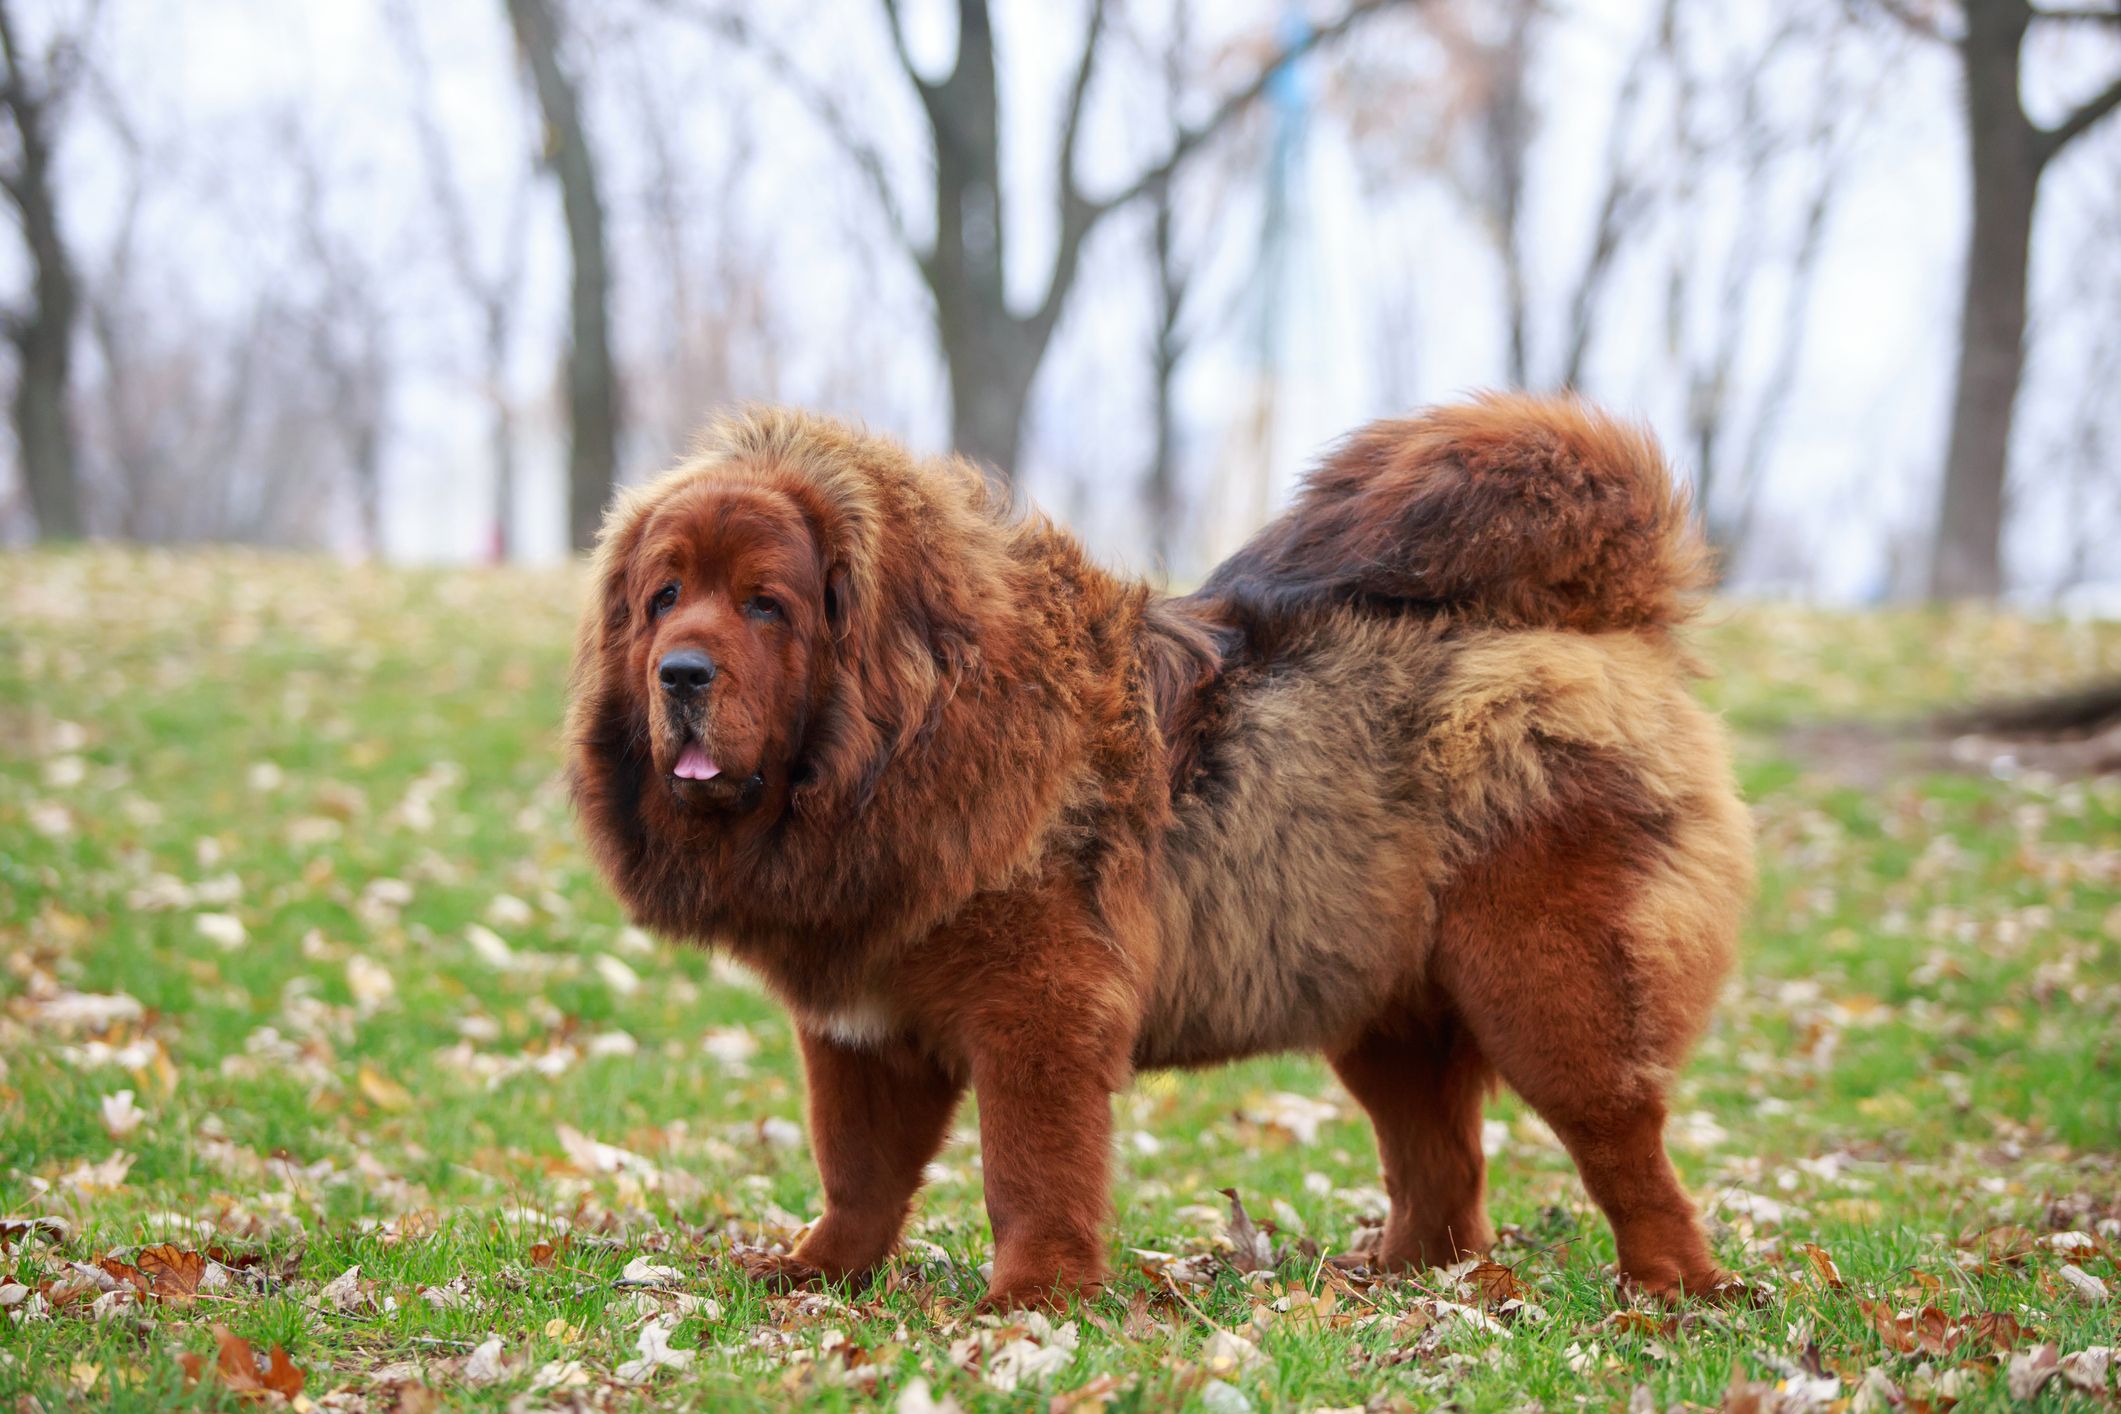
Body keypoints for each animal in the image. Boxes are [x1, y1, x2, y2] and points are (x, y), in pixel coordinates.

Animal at [568, 392, 1756, 1314]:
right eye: (664, 597)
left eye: (765, 605)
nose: (680, 673)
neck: (902, 742)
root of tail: (1609, 624)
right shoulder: (860, 1028)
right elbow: (857, 1170)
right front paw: (816, 1274)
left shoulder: (1037, 1009)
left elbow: (1029, 1168)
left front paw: (1031, 1299)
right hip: (1385, 1010)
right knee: (1445, 1172)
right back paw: (1400, 1281)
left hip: (1546, 986)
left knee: (1622, 1144)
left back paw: (1674, 1292)